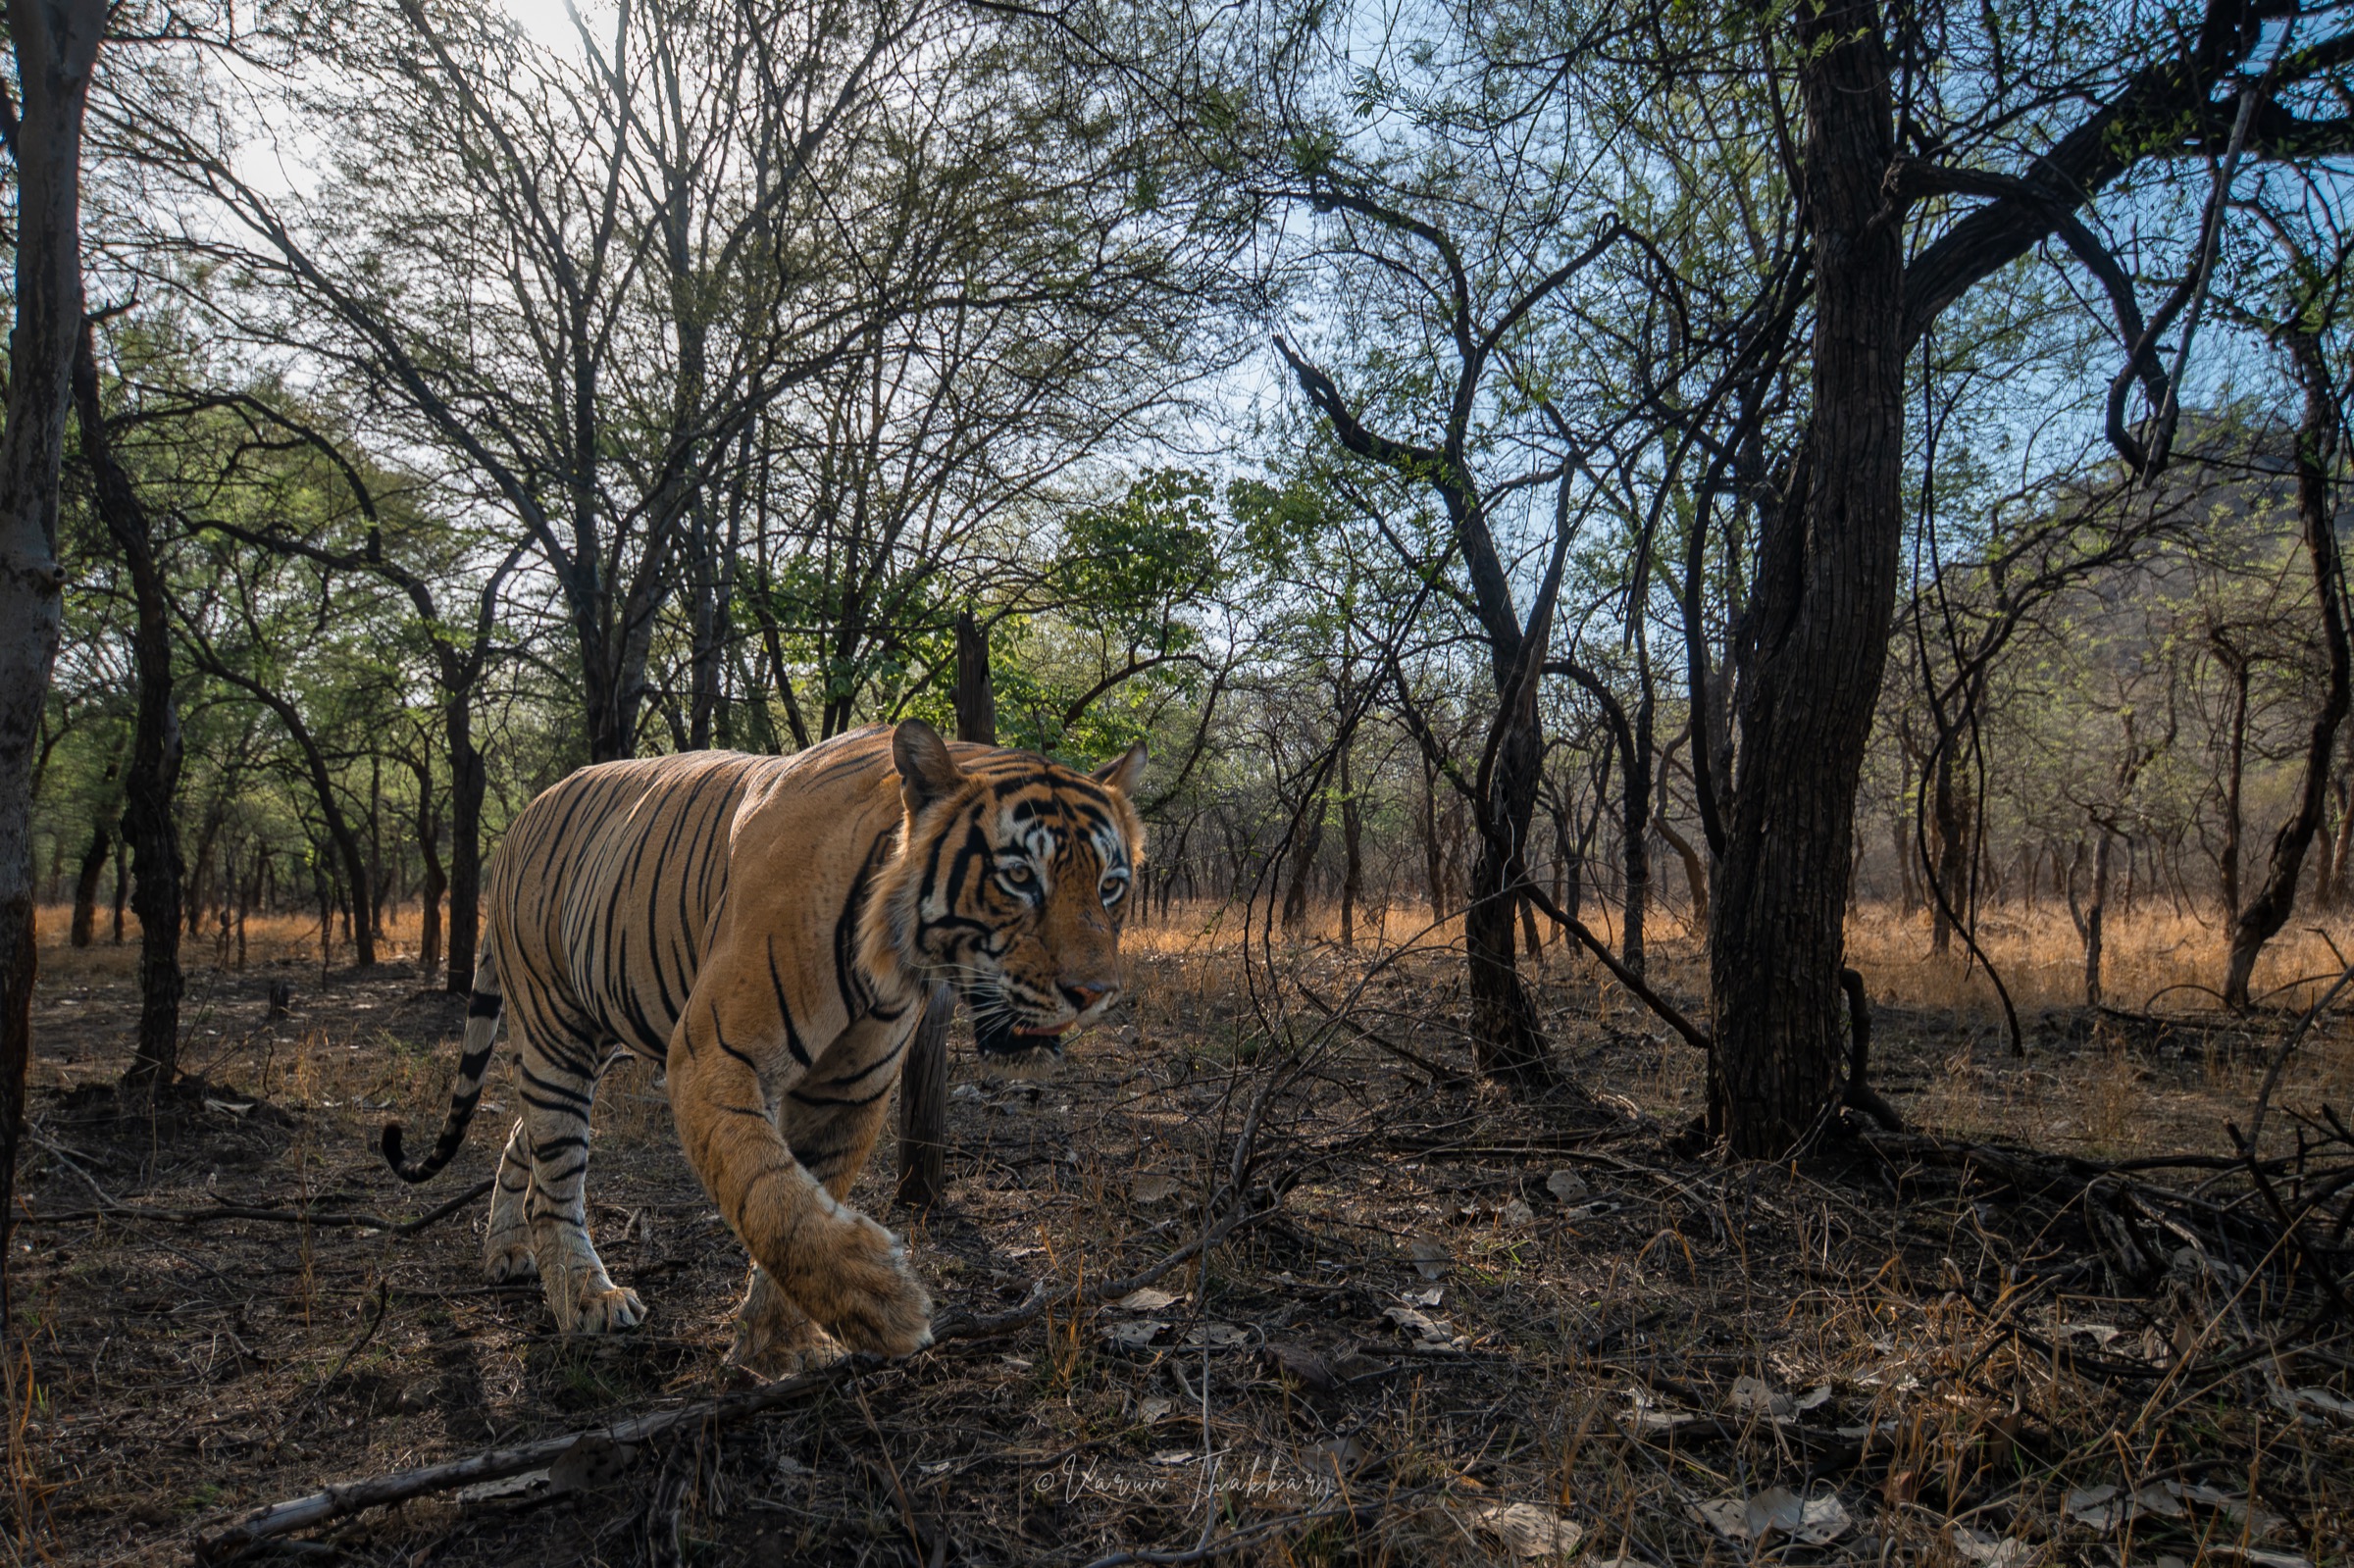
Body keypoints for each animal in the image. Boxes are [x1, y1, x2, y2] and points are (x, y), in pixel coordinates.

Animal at [380, 720, 1147, 1370]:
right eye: (1018, 877)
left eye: (1111, 886)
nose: (1097, 992)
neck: (891, 955)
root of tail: (516, 823)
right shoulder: (712, 1052)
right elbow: (767, 1191)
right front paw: (884, 1305)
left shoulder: (850, 1089)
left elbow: (805, 1197)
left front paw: (781, 1345)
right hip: (554, 1023)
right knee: (556, 1169)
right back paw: (587, 1298)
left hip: (600, 1029)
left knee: (524, 1137)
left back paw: (508, 1251)